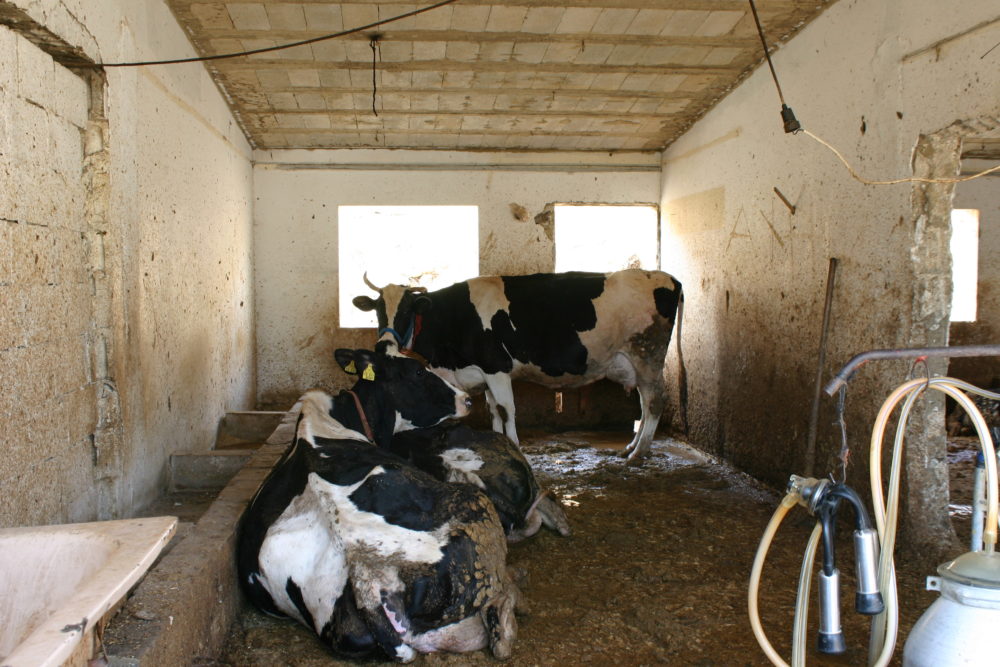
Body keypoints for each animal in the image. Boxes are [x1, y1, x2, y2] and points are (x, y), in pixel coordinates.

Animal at [354, 268, 688, 462]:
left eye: (407, 310)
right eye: (378, 311)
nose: (384, 344)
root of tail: (666, 277)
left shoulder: (497, 366)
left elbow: (506, 410)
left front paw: (515, 447)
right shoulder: (483, 373)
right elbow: (493, 412)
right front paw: (499, 445)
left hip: (647, 355)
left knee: (654, 401)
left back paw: (639, 453)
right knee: (645, 404)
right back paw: (632, 447)